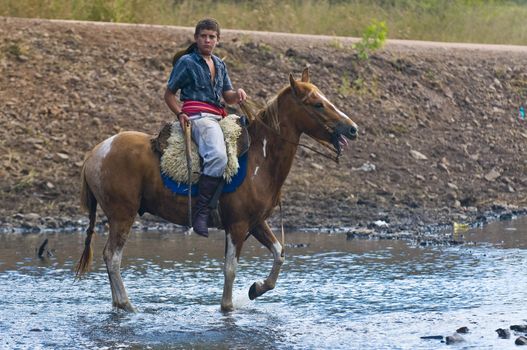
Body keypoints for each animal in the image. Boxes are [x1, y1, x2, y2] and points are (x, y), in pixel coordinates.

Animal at [75, 68, 358, 312]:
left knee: (110, 257)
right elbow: (230, 269)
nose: (352, 129)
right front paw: (228, 307)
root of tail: (95, 153)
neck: (259, 158)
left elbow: (279, 253)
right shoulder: (238, 225)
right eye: (317, 104)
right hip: (122, 214)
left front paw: (257, 288)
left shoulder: (256, 222)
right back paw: (126, 305)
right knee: (112, 256)